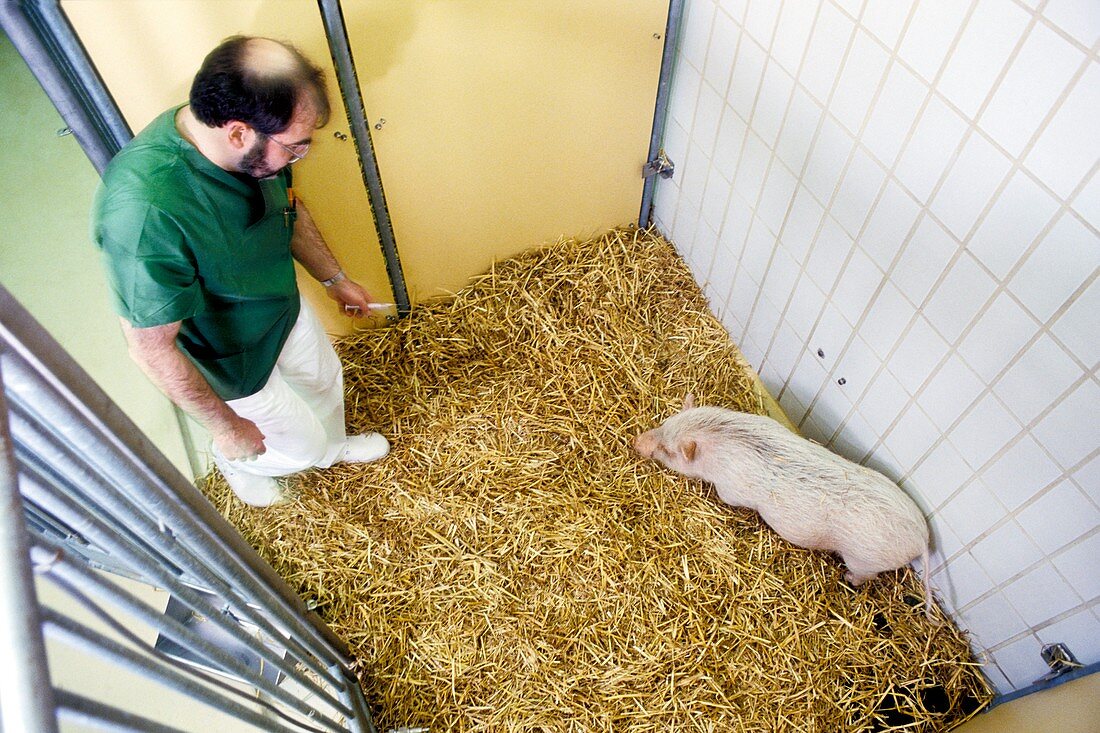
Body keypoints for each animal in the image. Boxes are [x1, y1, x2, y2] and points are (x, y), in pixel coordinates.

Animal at [633, 396, 932, 611]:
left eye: (668, 451)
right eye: (666, 422)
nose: (637, 441)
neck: (723, 438)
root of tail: (922, 539)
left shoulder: (731, 488)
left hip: (864, 559)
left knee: (864, 576)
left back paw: (847, 578)